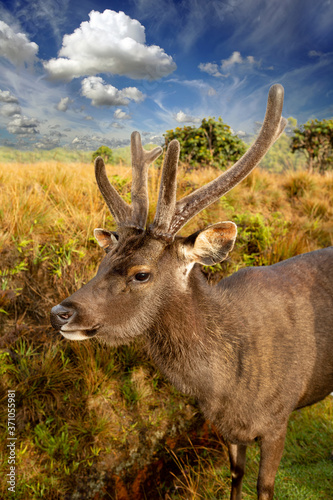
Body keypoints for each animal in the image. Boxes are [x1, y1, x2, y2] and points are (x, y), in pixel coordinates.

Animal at [50, 84, 332, 498]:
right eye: (102, 262)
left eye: (141, 274)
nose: (60, 313)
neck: (228, 386)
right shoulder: (225, 427)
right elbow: (236, 476)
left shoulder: (279, 419)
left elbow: (264, 487)